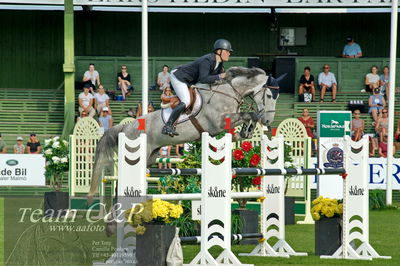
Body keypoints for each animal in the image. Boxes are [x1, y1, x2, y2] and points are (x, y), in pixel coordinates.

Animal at [87, 66, 282, 200]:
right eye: (269, 96)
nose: (268, 121)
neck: (228, 92)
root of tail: (126, 127)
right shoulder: (218, 123)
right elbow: (249, 115)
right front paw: (251, 124)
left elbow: (245, 122)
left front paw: (248, 131)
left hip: (150, 156)